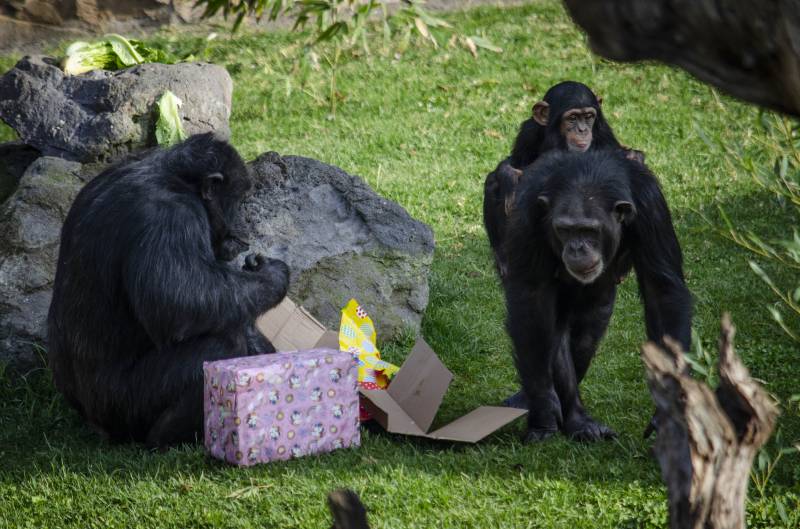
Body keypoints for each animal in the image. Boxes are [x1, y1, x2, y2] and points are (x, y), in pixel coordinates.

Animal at [44, 132, 288, 446]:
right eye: (241, 199)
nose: (245, 221)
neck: (179, 181)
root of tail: (93, 424)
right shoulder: (169, 217)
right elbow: (180, 301)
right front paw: (274, 276)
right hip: (127, 405)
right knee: (221, 343)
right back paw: (172, 438)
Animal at [482, 80, 644, 278]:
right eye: (572, 118)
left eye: (588, 117)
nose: (582, 130)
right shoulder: (528, 132)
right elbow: (515, 164)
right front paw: (509, 177)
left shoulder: (604, 133)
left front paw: (633, 157)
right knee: (492, 183)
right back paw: (505, 260)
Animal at [504, 148, 692, 442]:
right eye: (565, 230)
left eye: (589, 230)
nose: (577, 248)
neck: (586, 175)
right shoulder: (528, 214)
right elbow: (531, 297)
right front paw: (543, 410)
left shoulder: (651, 207)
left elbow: (662, 291)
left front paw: (669, 405)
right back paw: (574, 418)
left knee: (584, 339)